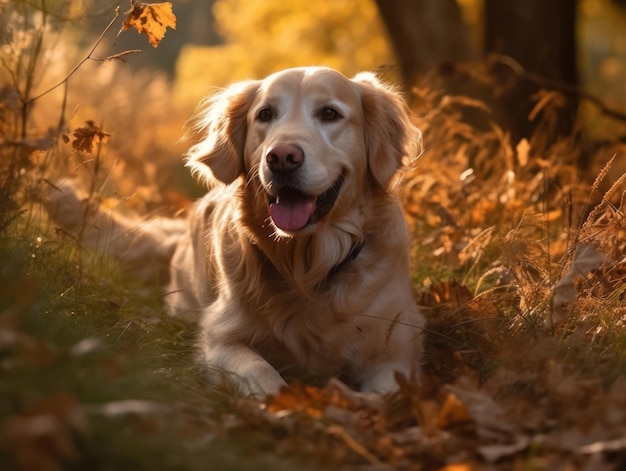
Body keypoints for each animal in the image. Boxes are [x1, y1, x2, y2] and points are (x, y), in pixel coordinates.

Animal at [45, 66, 424, 396]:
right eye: (265, 114)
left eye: (330, 114)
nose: (282, 157)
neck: (307, 268)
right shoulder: (220, 336)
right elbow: (263, 374)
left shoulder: (397, 347)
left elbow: (385, 395)